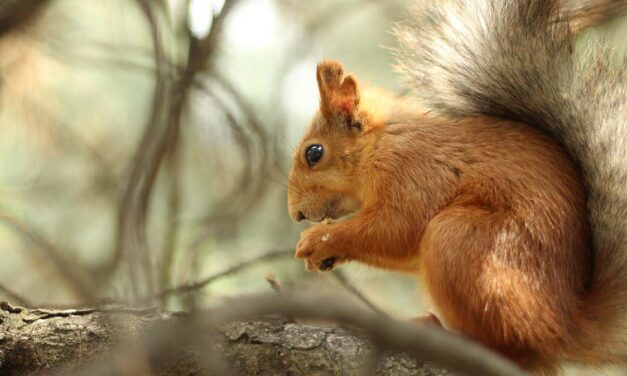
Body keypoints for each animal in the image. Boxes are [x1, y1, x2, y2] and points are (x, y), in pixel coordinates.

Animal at [288, 0, 627, 372]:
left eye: (314, 153)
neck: (380, 144)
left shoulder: (412, 172)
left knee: (512, 349)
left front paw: (319, 239)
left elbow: (395, 229)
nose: (295, 214)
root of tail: (562, 325)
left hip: (461, 241)